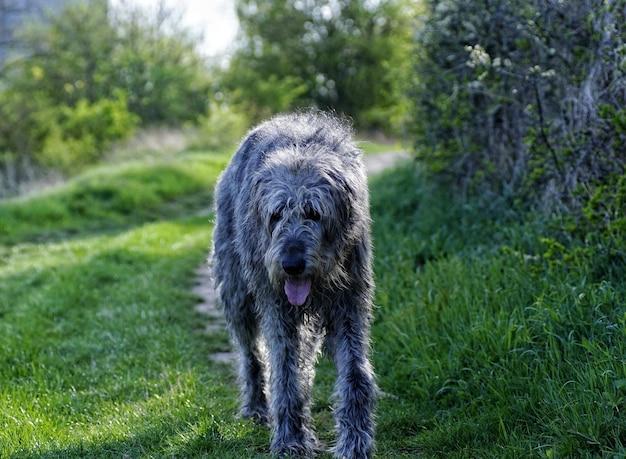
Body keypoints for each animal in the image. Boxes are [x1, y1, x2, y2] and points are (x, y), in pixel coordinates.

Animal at [210, 112, 376, 459]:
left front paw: (355, 441)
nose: (291, 265)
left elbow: (355, 372)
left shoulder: (350, 304)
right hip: (237, 294)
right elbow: (284, 371)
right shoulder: (278, 308)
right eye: (276, 214)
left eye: (314, 212)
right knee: (251, 354)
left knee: (304, 358)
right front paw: (290, 439)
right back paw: (257, 406)